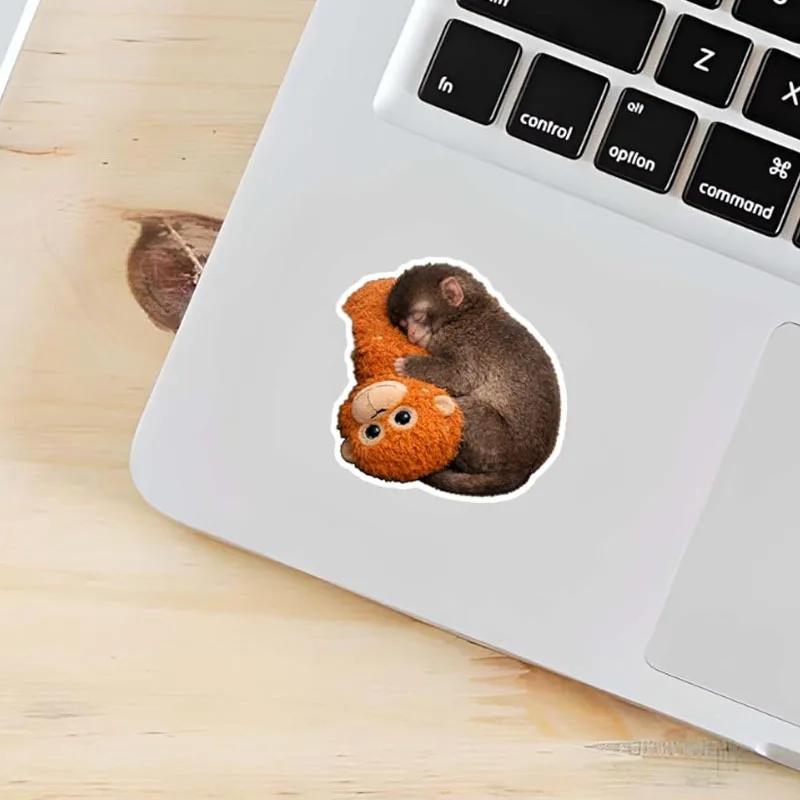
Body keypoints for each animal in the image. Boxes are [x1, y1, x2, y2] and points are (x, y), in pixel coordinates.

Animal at [387, 263, 561, 497]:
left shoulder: (463, 340)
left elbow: (461, 374)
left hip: (493, 443)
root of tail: (525, 468)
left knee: (456, 405)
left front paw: (407, 366)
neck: (464, 314)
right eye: (403, 325)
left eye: (419, 317)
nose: (412, 334)